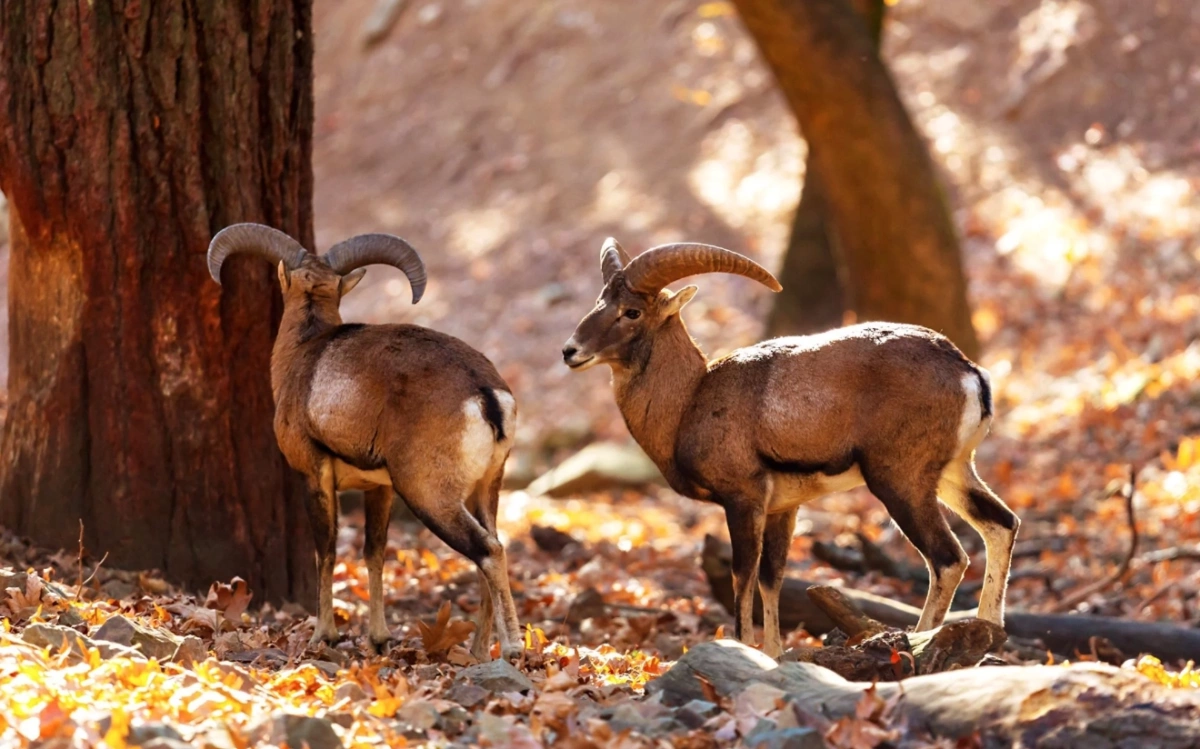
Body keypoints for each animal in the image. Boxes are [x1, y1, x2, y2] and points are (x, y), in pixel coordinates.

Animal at [207, 223, 523, 660]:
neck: (305, 354)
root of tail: (485, 396)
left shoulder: (315, 476)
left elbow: (326, 551)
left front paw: (324, 636)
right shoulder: (379, 489)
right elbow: (374, 554)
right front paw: (378, 639)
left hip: (429, 496)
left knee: (488, 552)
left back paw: (511, 648)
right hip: (485, 490)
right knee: (490, 548)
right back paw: (477, 652)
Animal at [562, 238, 1019, 658]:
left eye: (632, 311)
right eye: (600, 302)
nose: (570, 352)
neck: (691, 401)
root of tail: (969, 374)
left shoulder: (743, 500)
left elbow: (742, 576)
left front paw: (744, 647)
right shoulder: (782, 509)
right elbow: (771, 578)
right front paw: (774, 653)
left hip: (901, 482)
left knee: (948, 558)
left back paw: (920, 640)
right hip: (952, 473)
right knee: (1002, 524)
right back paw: (989, 633)